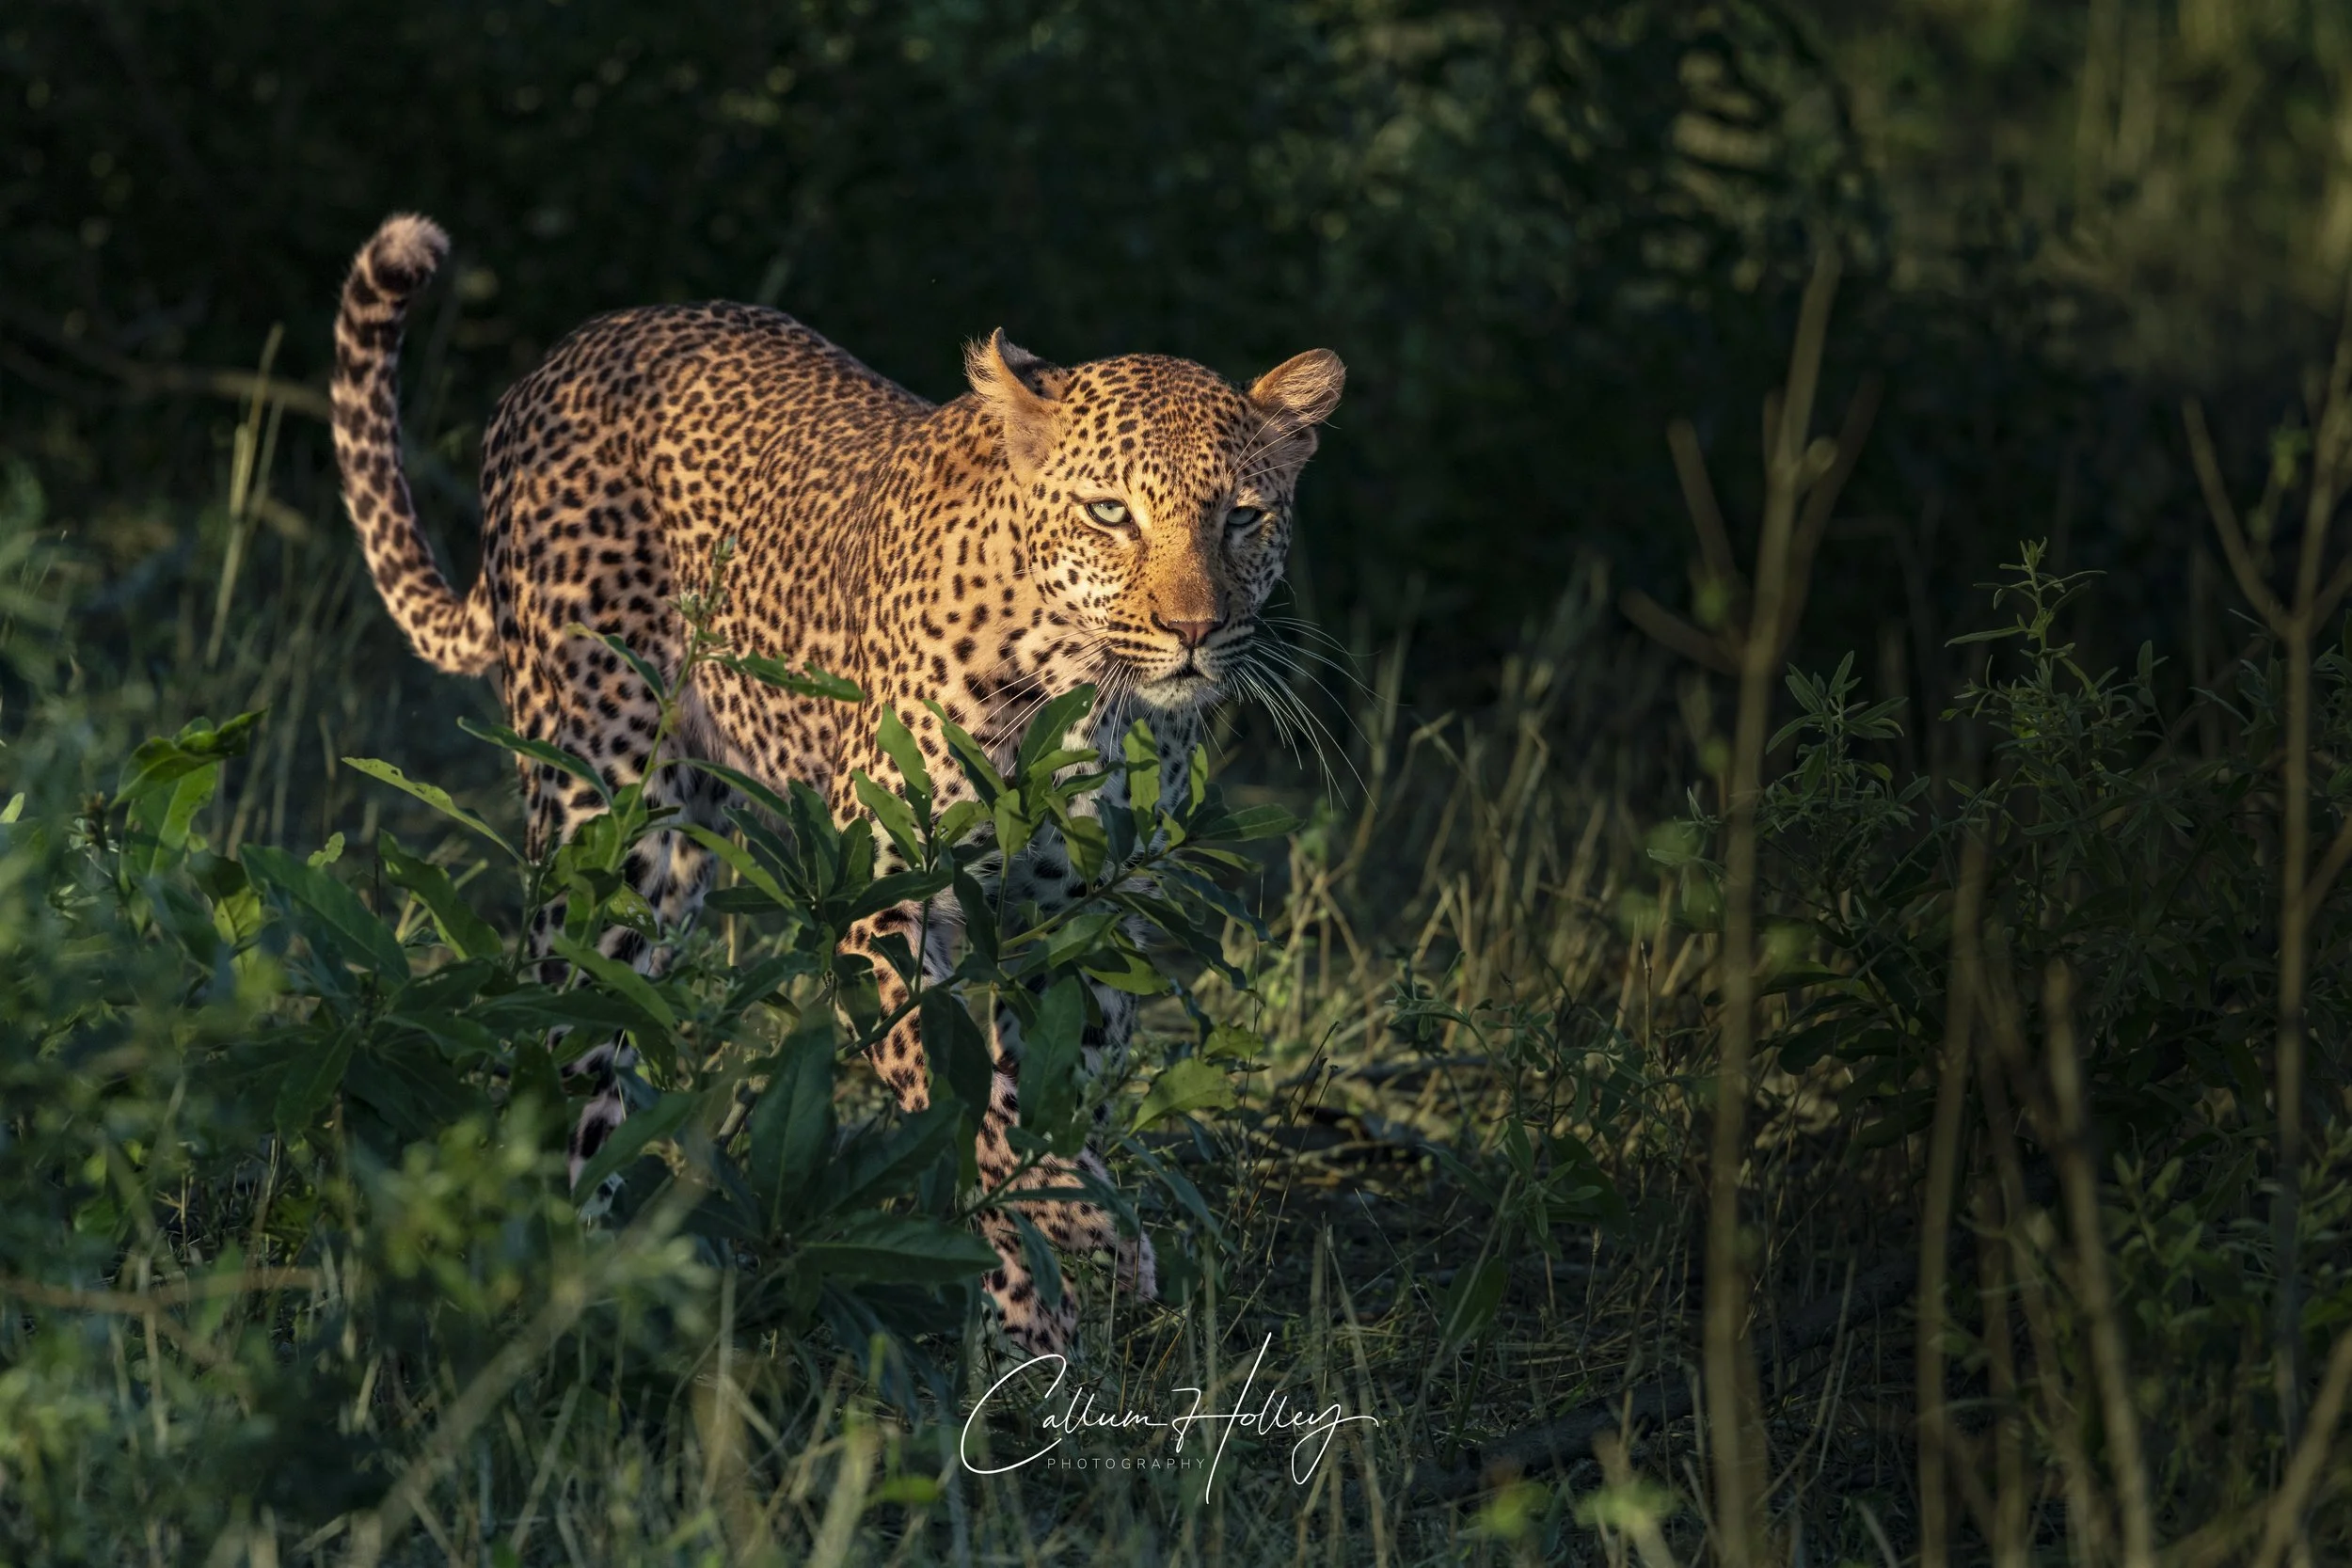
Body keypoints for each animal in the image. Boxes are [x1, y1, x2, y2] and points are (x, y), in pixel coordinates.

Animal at [330, 212, 1343, 1356]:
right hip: (603, 813)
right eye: (1109, 512)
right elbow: (964, 1101)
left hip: (680, 863)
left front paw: (1061, 1271)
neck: (1084, 694)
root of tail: (564, 355)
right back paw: (572, 1285)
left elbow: (1046, 1090)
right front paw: (1056, 1269)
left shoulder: (1082, 920)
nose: (1194, 629)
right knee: (569, 1038)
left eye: (1244, 518)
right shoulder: (883, 900)